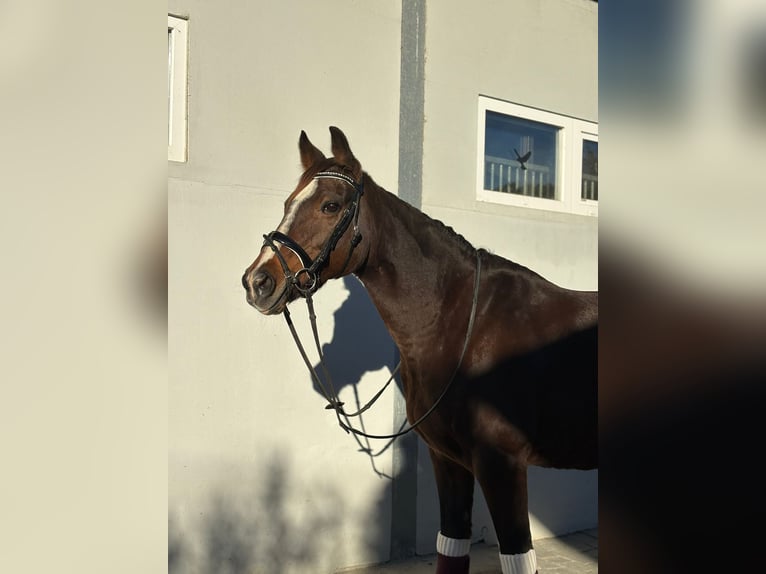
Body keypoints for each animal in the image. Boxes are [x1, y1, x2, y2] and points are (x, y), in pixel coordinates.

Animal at [242, 127, 598, 574]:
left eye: (330, 205)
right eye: (288, 204)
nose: (258, 282)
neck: (465, 326)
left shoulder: (502, 465)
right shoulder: (449, 462)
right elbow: (450, 548)